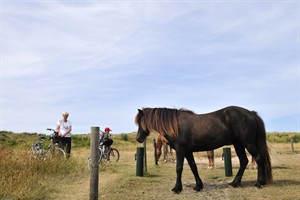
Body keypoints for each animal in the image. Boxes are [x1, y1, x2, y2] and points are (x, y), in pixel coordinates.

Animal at [135, 107, 272, 193]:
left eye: (140, 122)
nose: (138, 138)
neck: (175, 126)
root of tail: (251, 113)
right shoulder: (187, 151)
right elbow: (193, 167)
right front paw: (198, 186)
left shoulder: (180, 150)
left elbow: (179, 168)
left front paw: (177, 188)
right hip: (238, 144)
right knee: (244, 161)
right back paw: (234, 183)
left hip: (248, 143)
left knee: (258, 158)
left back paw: (259, 183)